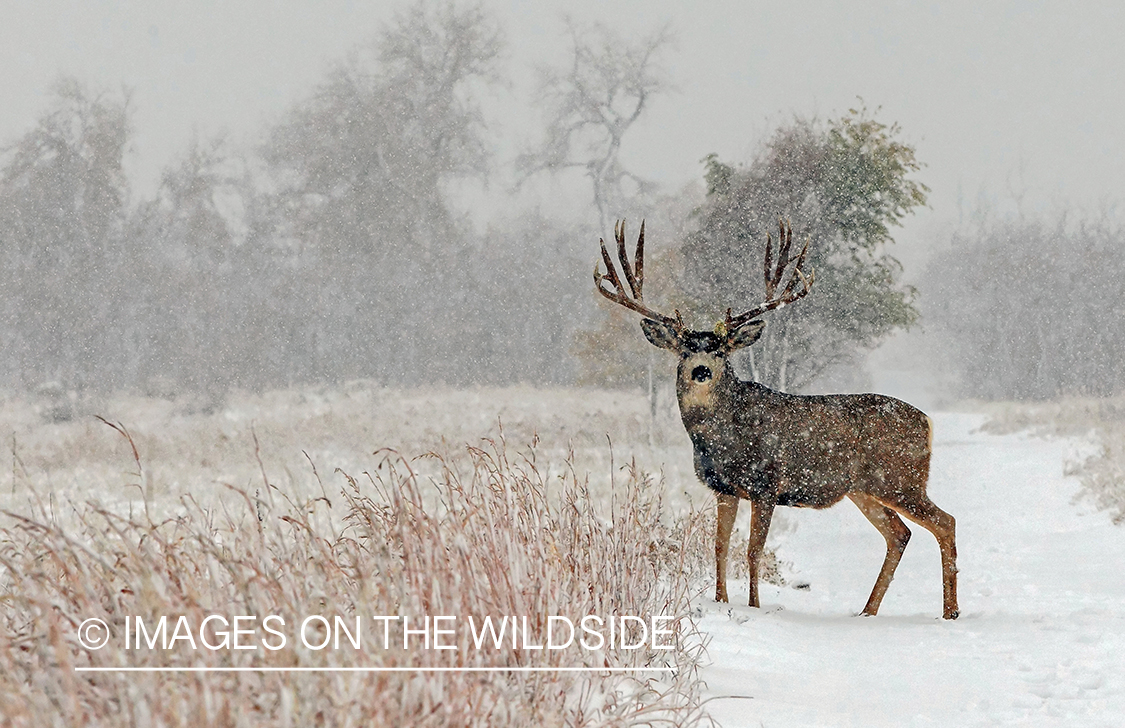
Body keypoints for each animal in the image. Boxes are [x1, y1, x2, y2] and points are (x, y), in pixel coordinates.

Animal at [594, 219, 959, 620]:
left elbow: (753, 550)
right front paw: (722, 601)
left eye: (721, 350)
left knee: (945, 522)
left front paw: (754, 606)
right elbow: (720, 547)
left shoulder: (766, 484)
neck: (720, 440)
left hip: (900, 478)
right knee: (900, 534)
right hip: (865, 489)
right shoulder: (723, 488)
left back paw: (950, 612)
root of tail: (927, 422)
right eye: (685, 350)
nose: (702, 370)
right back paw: (868, 611)